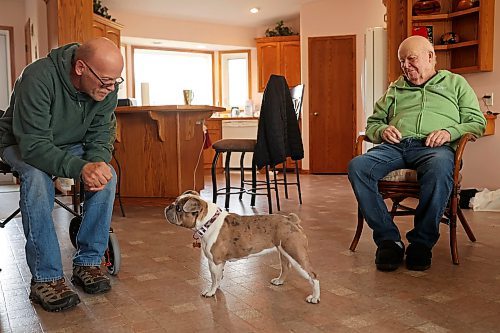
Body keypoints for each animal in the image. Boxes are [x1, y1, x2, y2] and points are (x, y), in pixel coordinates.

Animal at [164, 191, 320, 302]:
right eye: (174, 203)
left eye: (178, 208)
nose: (168, 207)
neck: (209, 221)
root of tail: (291, 220)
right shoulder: (219, 263)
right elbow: (219, 277)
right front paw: (217, 288)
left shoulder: (214, 262)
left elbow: (213, 278)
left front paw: (211, 292)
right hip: (284, 252)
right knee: (286, 267)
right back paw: (279, 281)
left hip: (297, 255)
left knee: (313, 276)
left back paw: (314, 297)